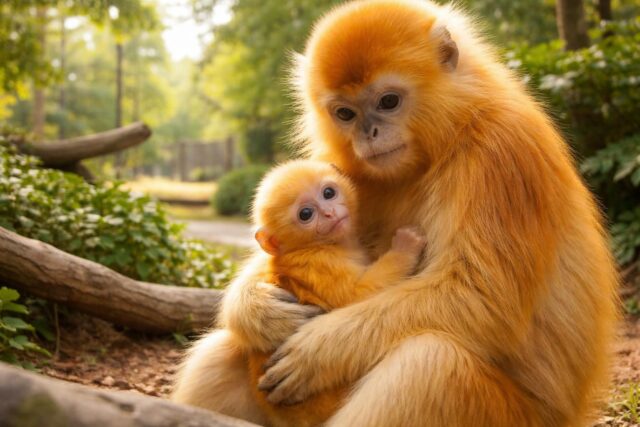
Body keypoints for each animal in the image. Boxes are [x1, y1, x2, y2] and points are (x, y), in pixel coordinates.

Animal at [247, 159, 425, 427]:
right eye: (306, 214)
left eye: (328, 193)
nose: (329, 213)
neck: (316, 245)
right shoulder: (321, 264)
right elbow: (356, 296)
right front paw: (406, 245)